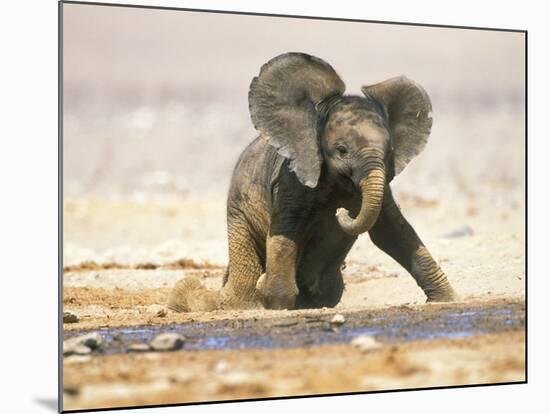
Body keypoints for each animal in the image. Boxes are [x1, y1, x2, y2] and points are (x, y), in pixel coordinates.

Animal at [170, 51, 460, 312]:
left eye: (389, 151)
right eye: (342, 150)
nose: (343, 212)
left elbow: (391, 232)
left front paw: (447, 300)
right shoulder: (291, 178)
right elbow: (287, 231)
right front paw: (277, 302)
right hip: (239, 215)